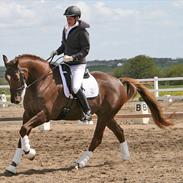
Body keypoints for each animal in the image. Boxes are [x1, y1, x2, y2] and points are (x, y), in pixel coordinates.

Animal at [2, 54, 173, 174]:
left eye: (16, 76)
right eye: (6, 78)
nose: (15, 100)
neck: (42, 82)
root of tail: (118, 80)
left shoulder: (45, 115)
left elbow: (24, 130)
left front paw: (30, 153)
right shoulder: (28, 114)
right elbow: (21, 134)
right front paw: (13, 166)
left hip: (104, 116)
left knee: (97, 138)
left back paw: (80, 162)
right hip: (107, 116)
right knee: (119, 131)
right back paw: (125, 157)